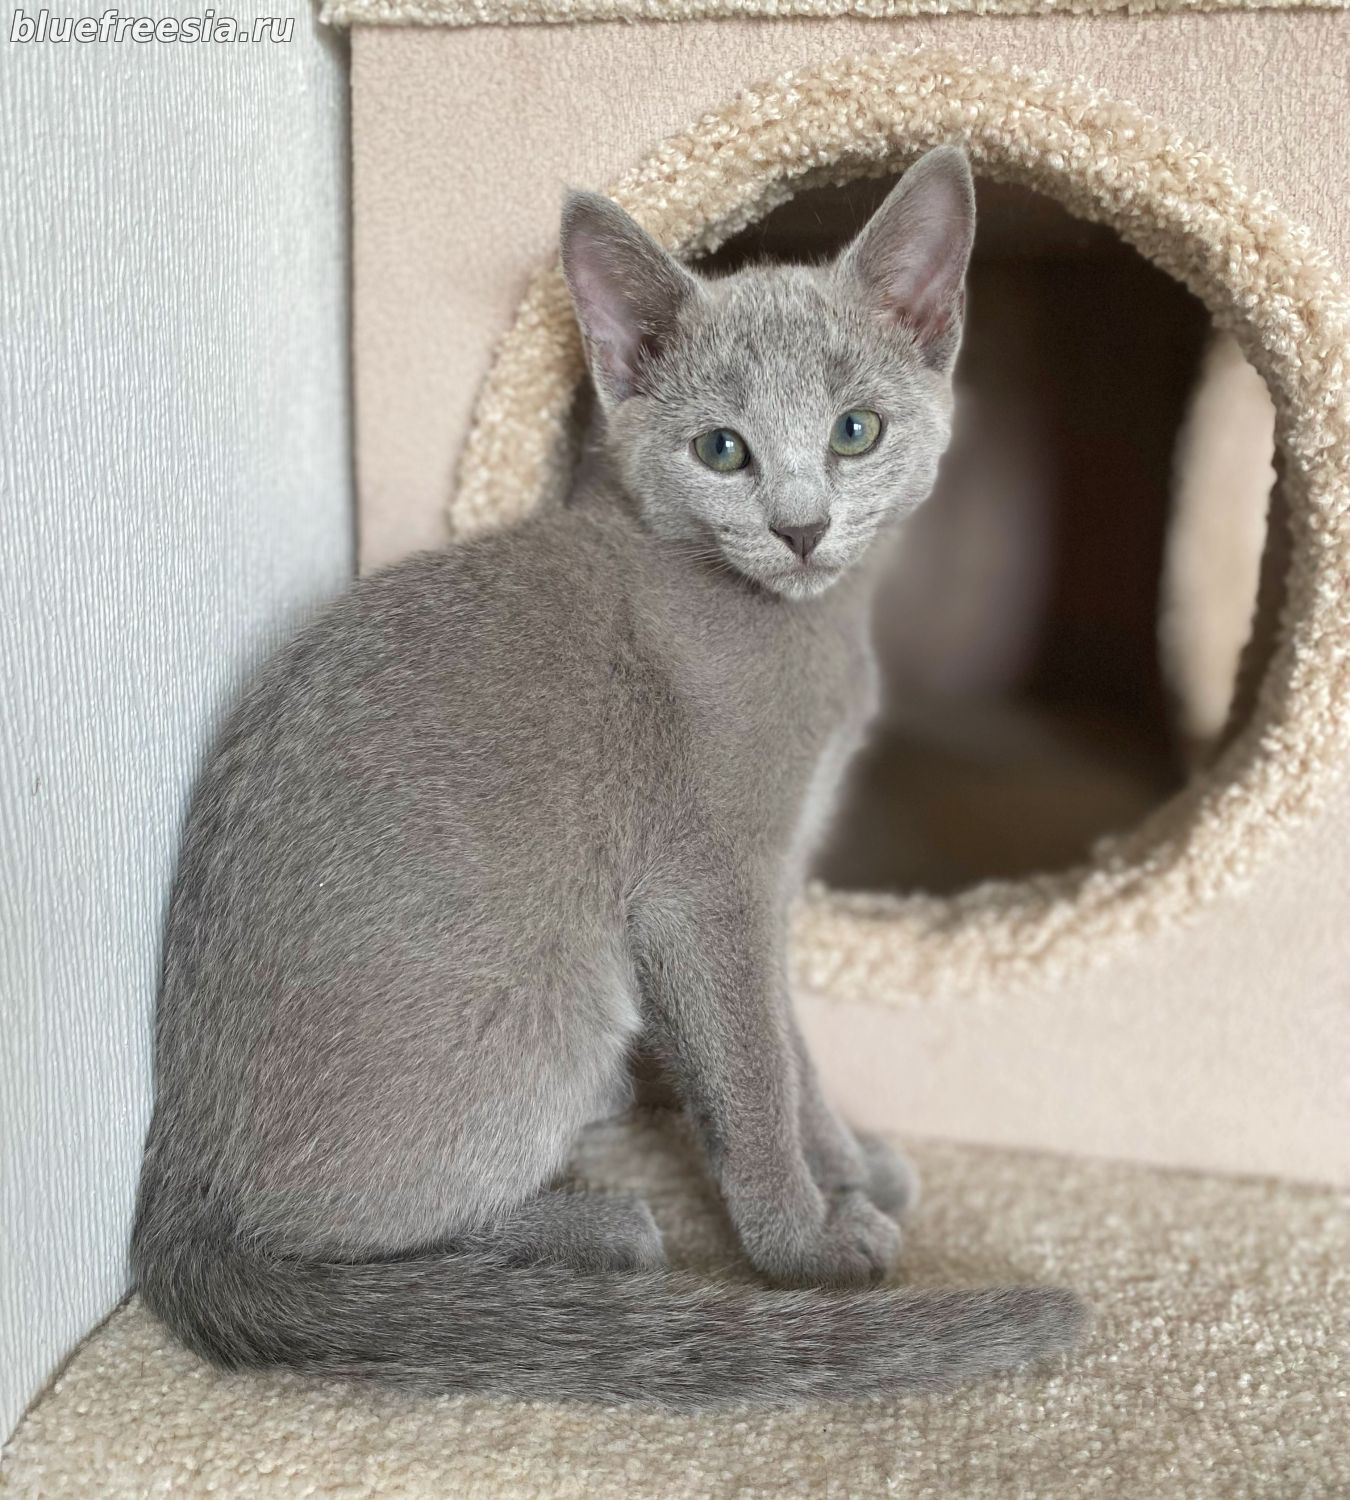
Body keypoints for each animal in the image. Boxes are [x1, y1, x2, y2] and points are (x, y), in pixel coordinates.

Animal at [131, 146, 1085, 1409]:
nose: (800, 526)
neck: (804, 633)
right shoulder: (707, 890)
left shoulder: (773, 877)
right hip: (559, 996)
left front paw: (850, 1169)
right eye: (722, 448)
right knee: (325, 1245)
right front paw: (808, 1245)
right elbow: (753, 1070)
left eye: (856, 430)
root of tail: (173, 1179)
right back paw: (594, 1234)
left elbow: (792, 1047)